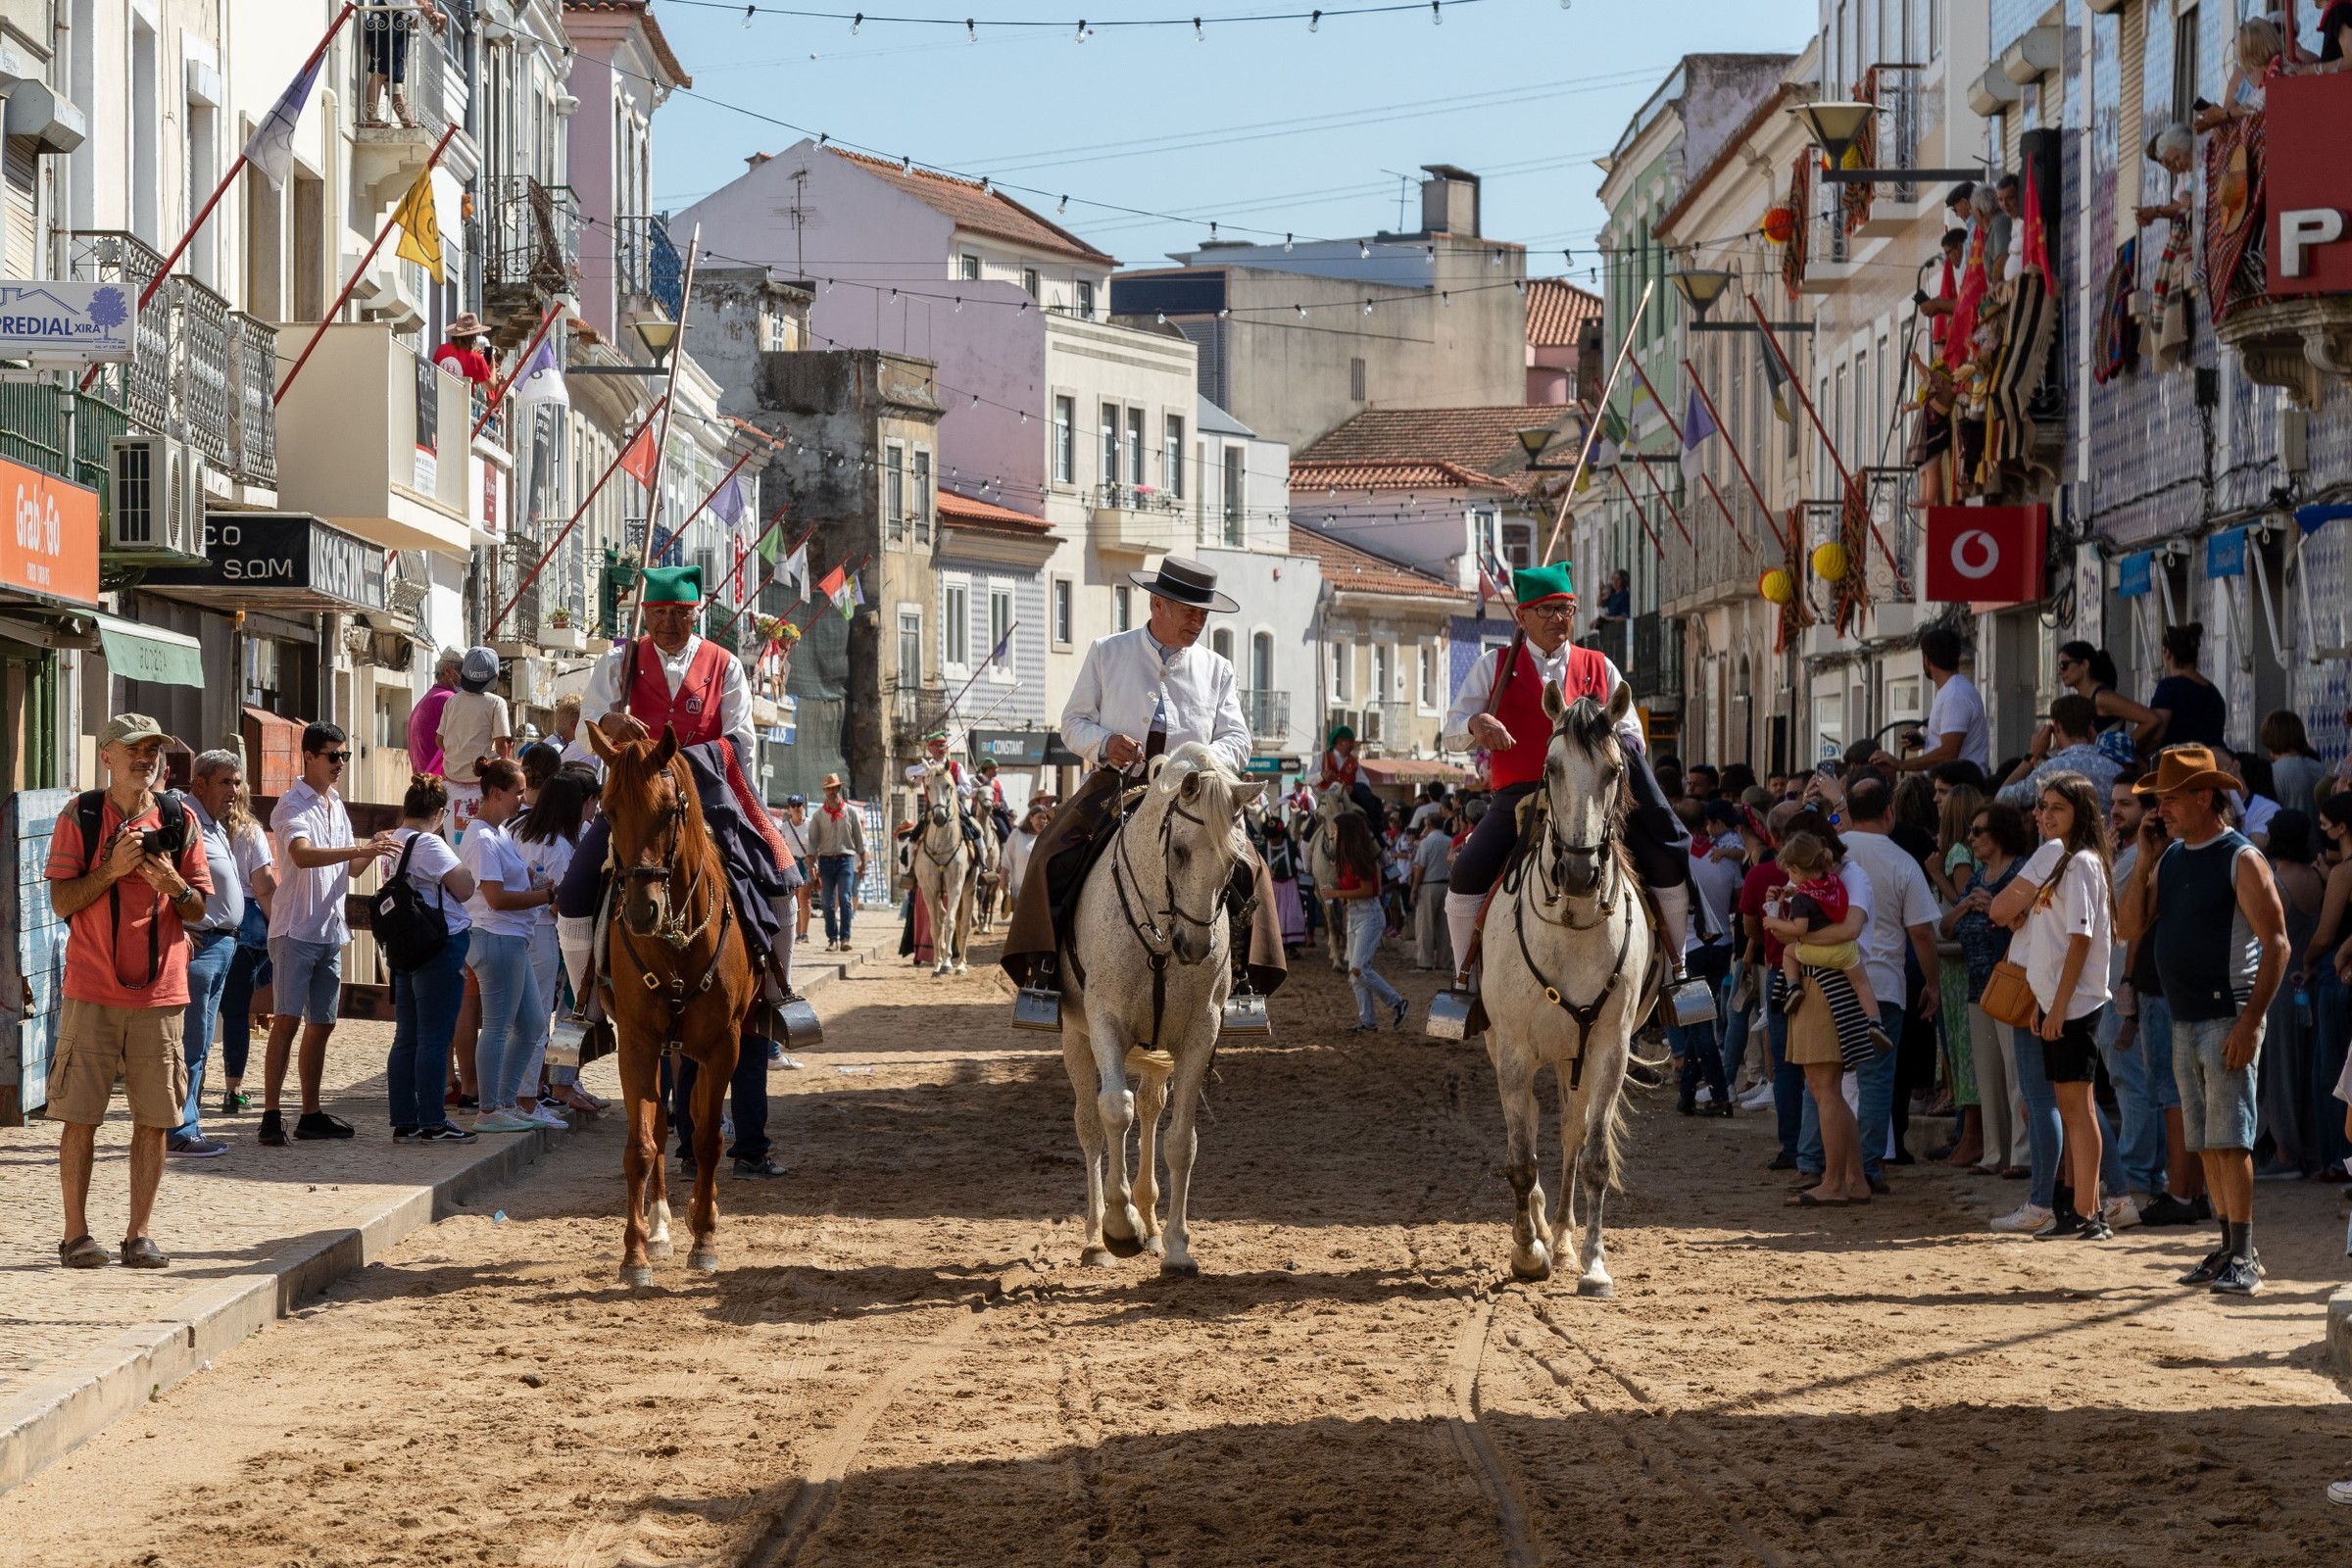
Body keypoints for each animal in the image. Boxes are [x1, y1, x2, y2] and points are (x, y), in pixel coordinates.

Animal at [580, 723, 753, 1288]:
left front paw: (706, 1240)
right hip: (661, 1048)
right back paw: (658, 1229)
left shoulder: (724, 1045)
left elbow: (708, 1140)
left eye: (667, 811)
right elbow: (642, 1144)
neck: (678, 940)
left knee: (696, 1123)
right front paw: (634, 1255)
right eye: (609, 811)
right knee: (659, 1127)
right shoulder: (636, 1041)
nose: (640, 912)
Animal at [903, 780, 968, 973]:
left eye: (948, 786)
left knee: (963, 923)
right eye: (928, 786)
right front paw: (938, 962)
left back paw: (961, 964)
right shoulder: (929, 889)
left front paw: (947, 964)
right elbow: (936, 925)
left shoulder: (956, 886)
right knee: (941, 917)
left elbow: (950, 921)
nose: (939, 818)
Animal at [1058, 747, 1260, 1278]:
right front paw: (1119, 1225)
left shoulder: (1199, 1034)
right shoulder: (1104, 1023)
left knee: (1150, 1110)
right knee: (1090, 1125)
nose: (1196, 947)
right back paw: (1097, 1238)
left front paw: (1176, 1247)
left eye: (1234, 860)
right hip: (1074, 1037)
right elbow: (1115, 1109)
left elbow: (1180, 1141)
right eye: (1181, 851)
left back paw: (1149, 1225)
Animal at [1486, 681, 1655, 1298]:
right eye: (1552, 767)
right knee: (1536, 1124)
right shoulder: (1514, 1052)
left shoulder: (1609, 1049)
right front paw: (1526, 1253)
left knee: (1571, 1132)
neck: (1574, 925)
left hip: (1573, 1056)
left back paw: (1559, 1233)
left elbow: (1595, 1153)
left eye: (1614, 770)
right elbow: (1519, 1158)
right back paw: (1540, 1231)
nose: (1581, 873)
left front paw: (1593, 1264)